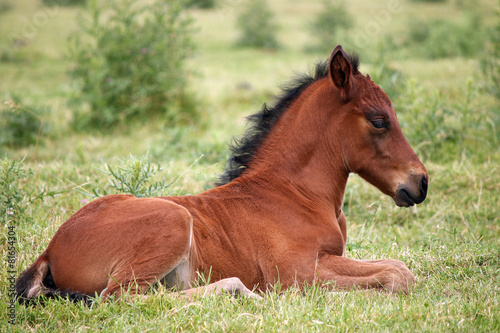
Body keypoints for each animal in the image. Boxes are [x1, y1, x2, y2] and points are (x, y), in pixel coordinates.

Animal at [17, 45, 428, 302]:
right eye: (379, 120)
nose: (420, 182)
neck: (295, 193)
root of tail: (51, 248)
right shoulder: (297, 275)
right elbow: (397, 276)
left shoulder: (329, 258)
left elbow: (397, 266)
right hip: (173, 220)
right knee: (119, 300)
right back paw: (239, 290)